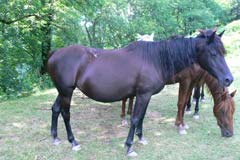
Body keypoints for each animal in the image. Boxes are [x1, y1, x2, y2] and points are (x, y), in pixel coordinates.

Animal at [47, 28, 233, 156]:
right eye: (213, 53)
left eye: (223, 52)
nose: (229, 79)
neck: (156, 59)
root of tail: (55, 53)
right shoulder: (143, 94)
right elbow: (135, 118)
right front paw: (129, 147)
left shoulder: (145, 95)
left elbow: (141, 117)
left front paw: (141, 138)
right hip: (67, 92)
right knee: (65, 113)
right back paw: (73, 142)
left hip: (62, 91)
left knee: (55, 109)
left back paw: (55, 138)